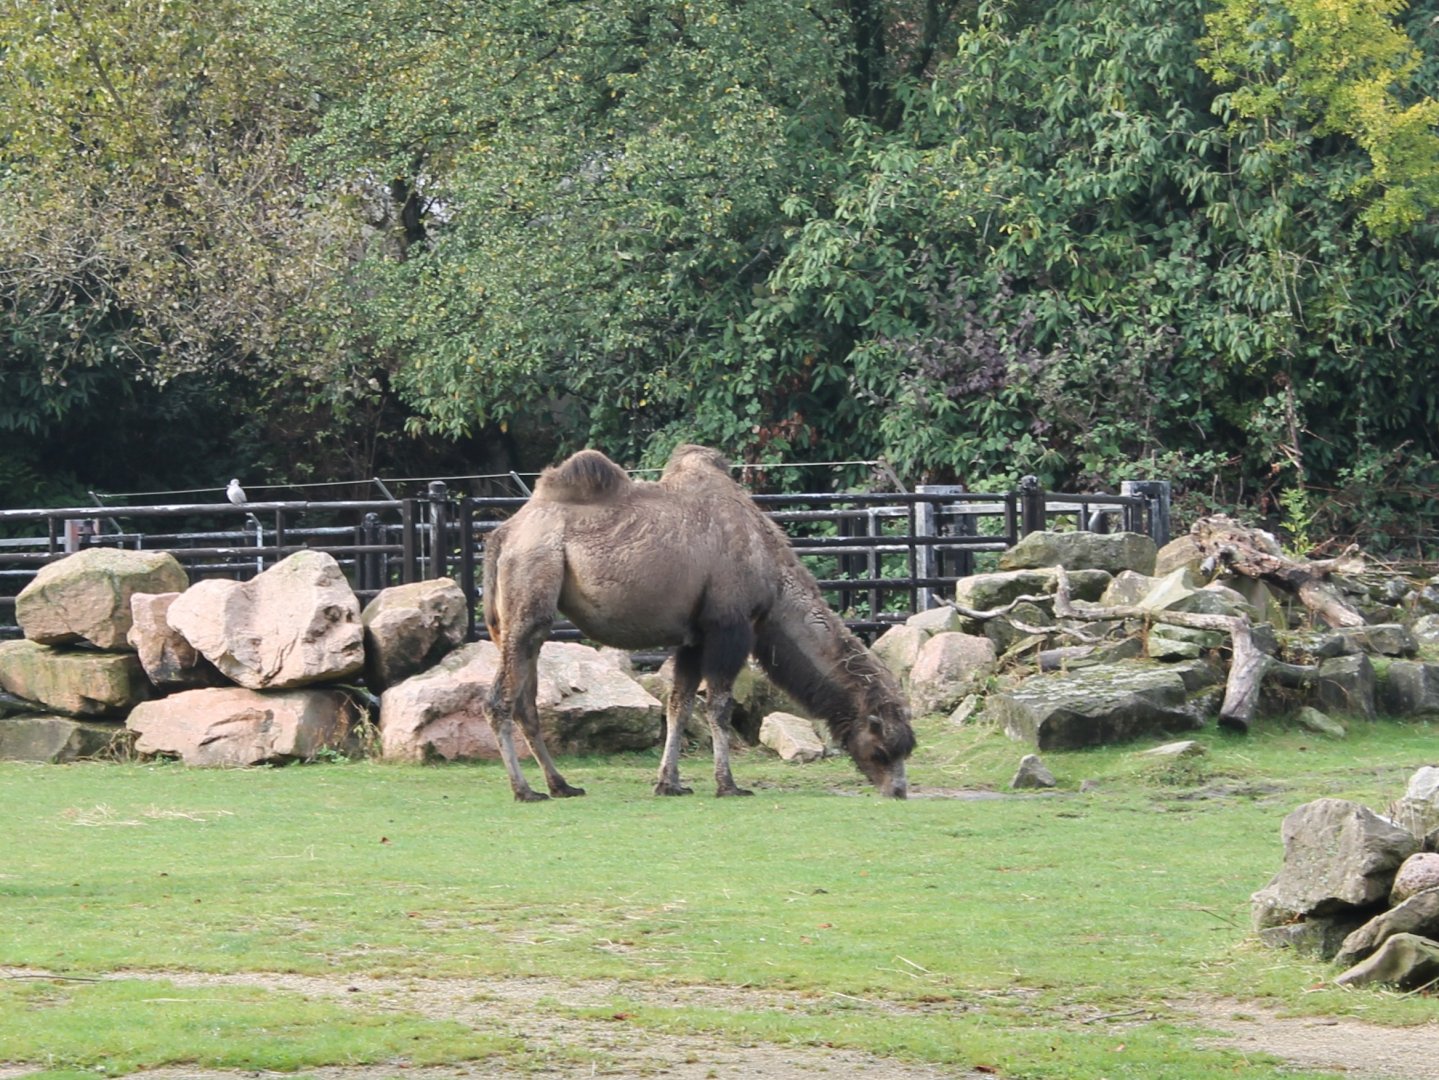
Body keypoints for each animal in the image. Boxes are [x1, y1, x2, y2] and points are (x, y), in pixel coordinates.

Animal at [482, 444, 916, 801]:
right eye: (883, 749)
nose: (898, 791)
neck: (773, 579)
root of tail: (504, 535)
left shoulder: (693, 636)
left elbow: (679, 705)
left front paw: (669, 783)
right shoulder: (729, 626)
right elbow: (719, 706)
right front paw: (729, 784)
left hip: (515, 620)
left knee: (526, 703)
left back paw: (561, 785)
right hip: (531, 588)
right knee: (499, 699)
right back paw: (525, 791)